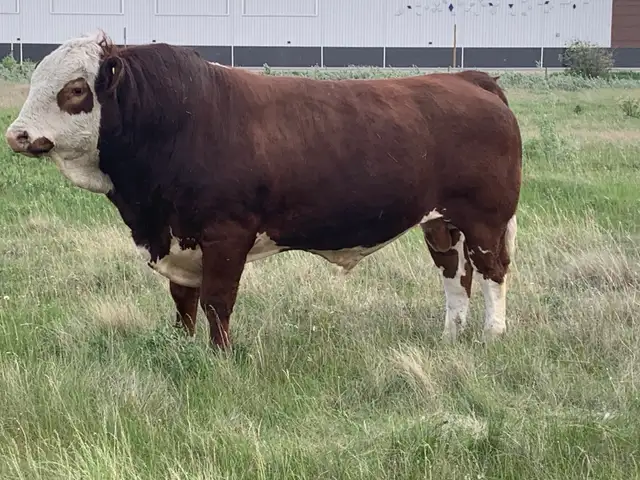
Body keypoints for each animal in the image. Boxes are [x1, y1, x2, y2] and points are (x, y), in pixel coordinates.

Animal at [5, 31, 522, 350]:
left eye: (75, 90)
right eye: (35, 80)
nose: (17, 135)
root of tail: (468, 79)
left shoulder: (226, 234)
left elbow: (217, 301)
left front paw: (221, 357)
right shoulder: (179, 236)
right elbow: (183, 301)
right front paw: (180, 346)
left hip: (485, 220)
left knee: (493, 271)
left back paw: (493, 335)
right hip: (440, 223)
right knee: (454, 275)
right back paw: (451, 337)